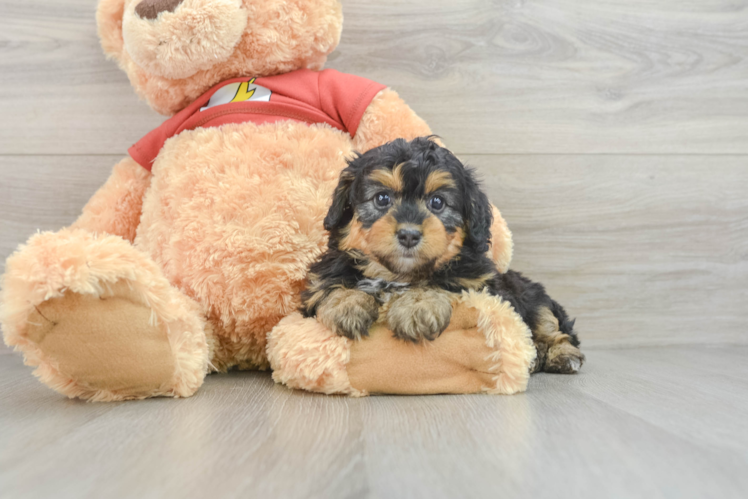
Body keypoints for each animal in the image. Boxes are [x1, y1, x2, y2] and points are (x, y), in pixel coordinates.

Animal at [300, 136, 580, 372]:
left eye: (437, 202)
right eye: (382, 198)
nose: (409, 235)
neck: (397, 275)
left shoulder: (483, 289)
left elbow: (441, 284)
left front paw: (417, 306)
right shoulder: (319, 283)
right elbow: (331, 286)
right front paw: (346, 304)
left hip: (536, 300)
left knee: (553, 329)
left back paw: (559, 356)